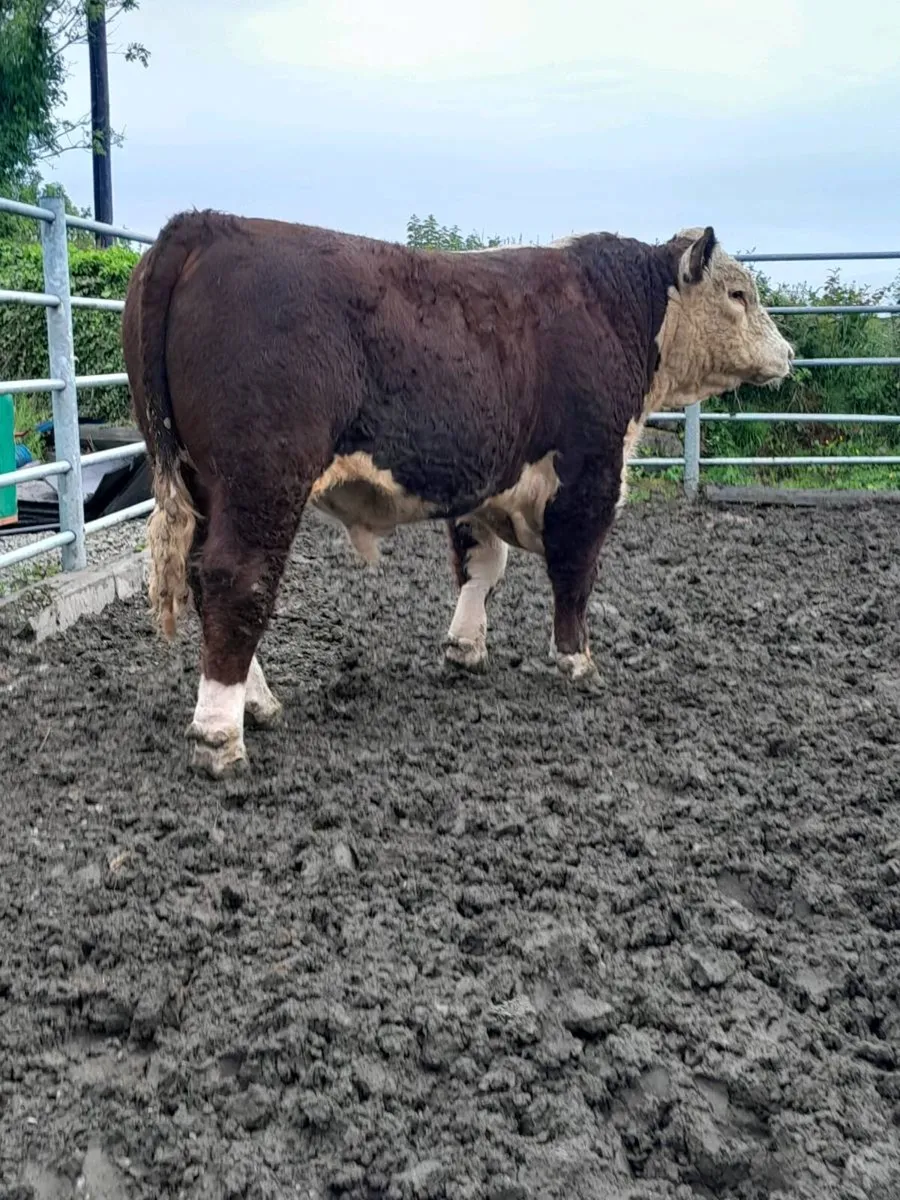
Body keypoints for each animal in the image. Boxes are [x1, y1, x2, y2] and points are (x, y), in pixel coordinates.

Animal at [122, 212, 793, 777]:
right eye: (739, 294)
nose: (787, 352)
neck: (618, 308)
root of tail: (206, 224)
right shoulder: (590, 473)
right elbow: (575, 572)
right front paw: (577, 661)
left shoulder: (486, 477)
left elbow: (480, 564)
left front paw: (465, 647)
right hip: (261, 479)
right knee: (239, 579)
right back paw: (220, 736)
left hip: (201, 482)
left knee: (204, 578)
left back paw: (259, 704)